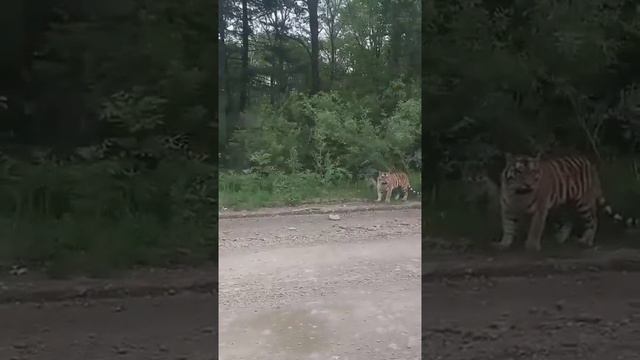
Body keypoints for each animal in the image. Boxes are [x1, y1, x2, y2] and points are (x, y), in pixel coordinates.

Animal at [498, 153, 636, 252]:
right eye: (519, 171)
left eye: (533, 172)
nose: (528, 184)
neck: (519, 194)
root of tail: (591, 165)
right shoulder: (507, 208)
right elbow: (508, 226)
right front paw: (504, 244)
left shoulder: (540, 210)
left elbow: (535, 229)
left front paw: (531, 247)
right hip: (566, 204)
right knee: (569, 220)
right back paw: (560, 239)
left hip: (584, 203)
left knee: (593, 220)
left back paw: (586, 241)